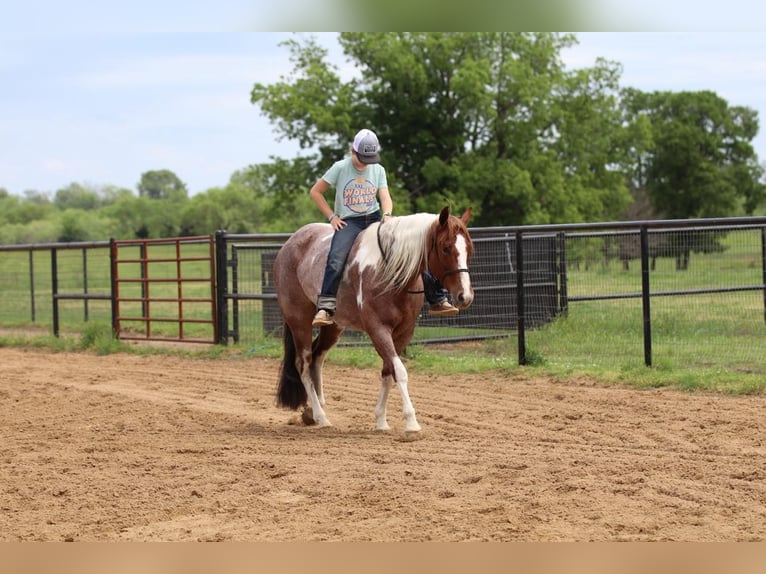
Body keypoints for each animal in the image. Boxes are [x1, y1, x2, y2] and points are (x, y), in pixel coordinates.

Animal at [270, 205, 474, 434]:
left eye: (469, 248)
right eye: (446, 248)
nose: (465, 296)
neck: (390, 271)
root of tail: (290, 244)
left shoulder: (404, 332)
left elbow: (388, 372)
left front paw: (381, 421)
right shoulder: (378, 329)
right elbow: (399, 371)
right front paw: (411, 422)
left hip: (333, 326)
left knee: (317, 357)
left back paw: (313, 412)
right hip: (299, 321)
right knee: (303, 364)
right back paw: (321, 417)